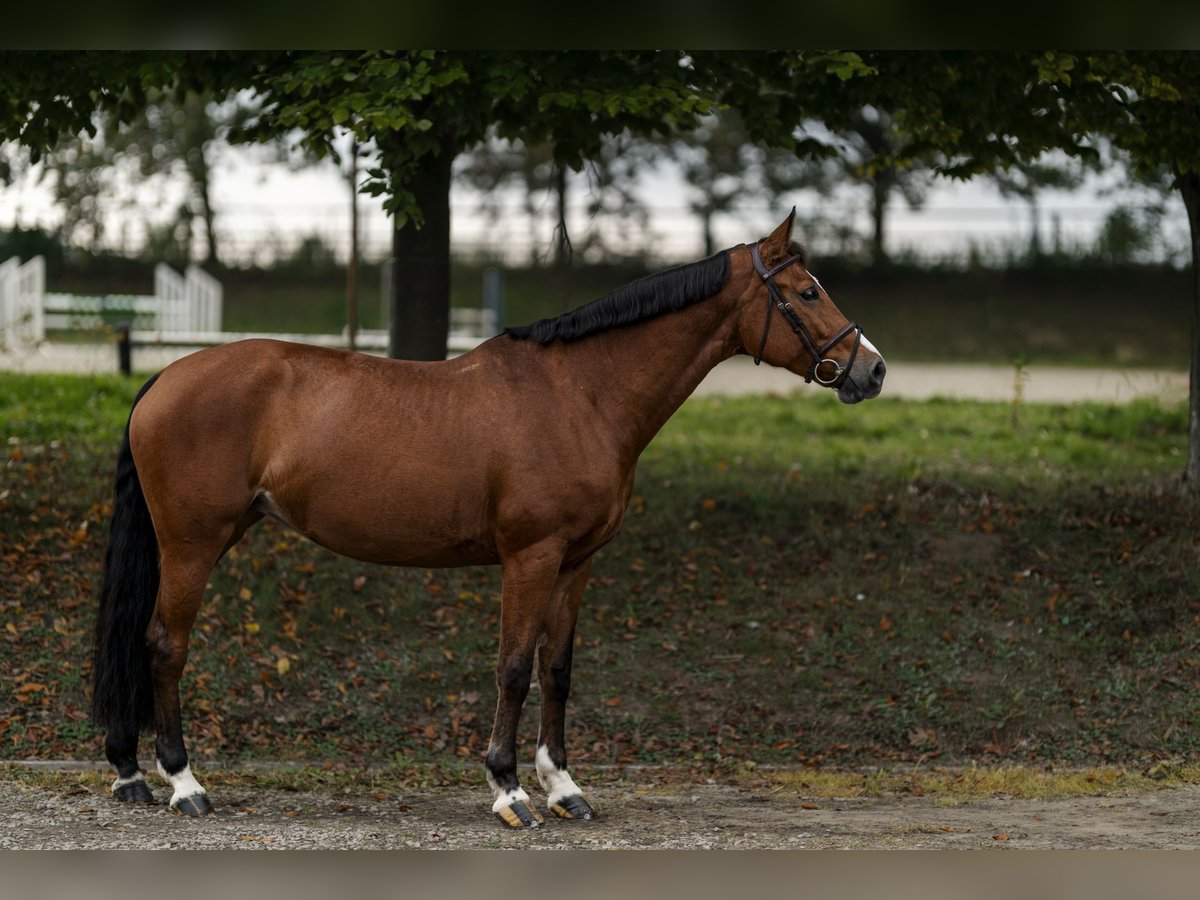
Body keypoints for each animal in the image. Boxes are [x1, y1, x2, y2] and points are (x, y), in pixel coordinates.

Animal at [90, 210, 886, 828]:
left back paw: (130, 774)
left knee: (142, 639)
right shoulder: (530, 556)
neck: (580, 395)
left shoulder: (576, 561)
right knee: (164, 644)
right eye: (807, 291)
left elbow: (557, 670)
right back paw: (184, 783)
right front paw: (509, 791)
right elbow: (512, 668)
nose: (872, 370)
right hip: (192, 544)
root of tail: (164, 377)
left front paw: (564, 787)